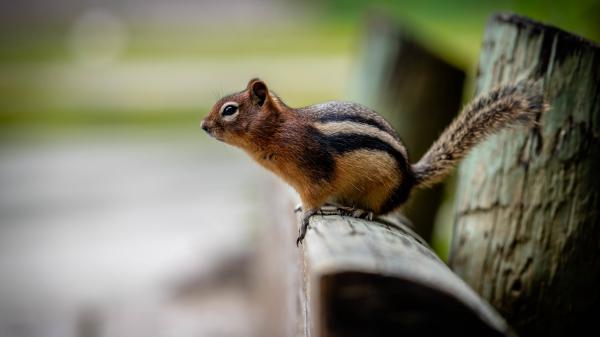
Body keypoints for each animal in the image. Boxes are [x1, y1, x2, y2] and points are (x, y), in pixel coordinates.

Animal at [202, 78, 548, 244]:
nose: (204, 126)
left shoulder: (314, 172)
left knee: (378, 210)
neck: (277, 130)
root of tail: (410, 177)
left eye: (230, 110)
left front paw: (306, 216)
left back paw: (359, 210)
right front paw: (301, 208)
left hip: (382, 190)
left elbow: (314, 198)